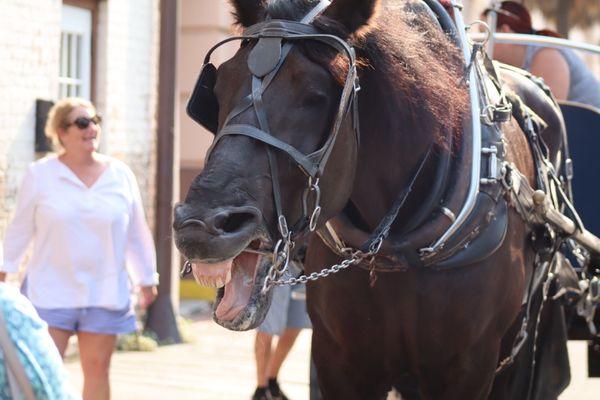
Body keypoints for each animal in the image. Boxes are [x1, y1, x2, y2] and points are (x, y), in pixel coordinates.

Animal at [172, 1, 572, 398]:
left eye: (315, 97)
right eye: (218, 87)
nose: (198, 225)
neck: (399, 246)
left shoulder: (467, 368)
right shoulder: (341, 362)